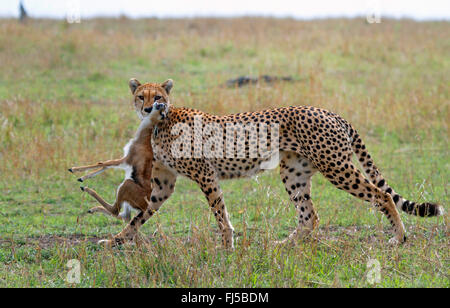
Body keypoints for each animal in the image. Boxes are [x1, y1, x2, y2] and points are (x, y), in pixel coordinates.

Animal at [100, 79, 442, 248]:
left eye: (158, 96)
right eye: (141, 96)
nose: (149, 107)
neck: (162, 121)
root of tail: (329, 111)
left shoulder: (206, 175)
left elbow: (220, 213)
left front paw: (227, 245)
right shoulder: (163, 184)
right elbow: (140, 216)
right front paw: (116, 240)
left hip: (336, 166)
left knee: (381, 195)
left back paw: (399, 237)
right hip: (294, 172)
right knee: (309, 216)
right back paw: (286, 244)